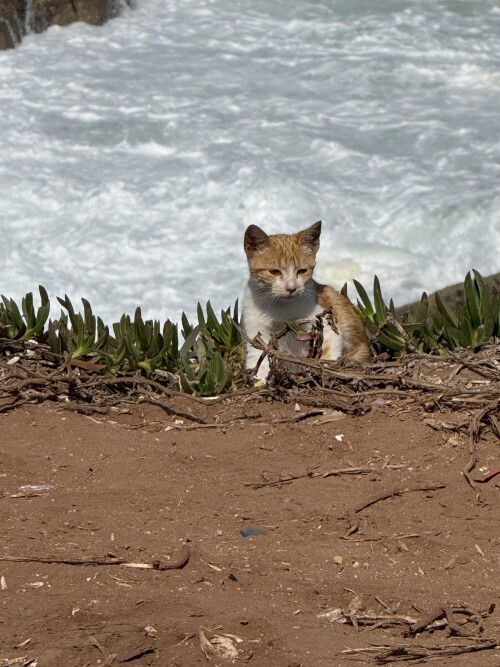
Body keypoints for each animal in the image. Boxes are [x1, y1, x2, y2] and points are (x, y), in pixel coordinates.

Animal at [242, 220, 371, 380]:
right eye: (275, 271)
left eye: (302, 271)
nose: (291, 288)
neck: (280, 307)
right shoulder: (259, 334)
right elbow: (259, 360)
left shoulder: (324, 325)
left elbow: (326, 353)